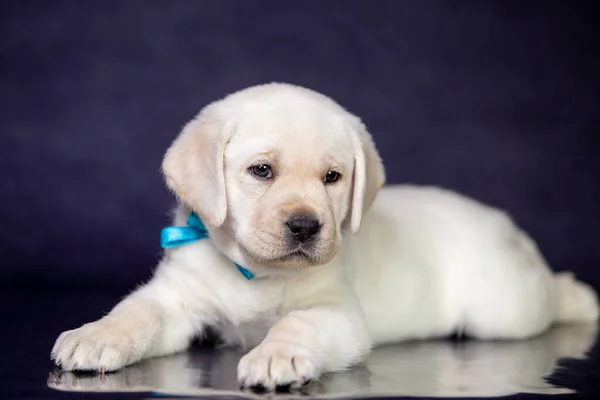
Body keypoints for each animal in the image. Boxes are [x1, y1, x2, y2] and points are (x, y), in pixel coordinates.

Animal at [51, 82, 600, 390]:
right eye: (262, 170)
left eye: (332, 178)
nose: (305, 226)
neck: (255, 273)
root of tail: (504, 222)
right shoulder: (176, 300)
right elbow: (135, 314)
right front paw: (94, 337)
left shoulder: (338, 312)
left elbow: (297, 324)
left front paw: (275, 355)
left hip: (502, 310)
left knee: (547, 296)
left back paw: (580, 297)